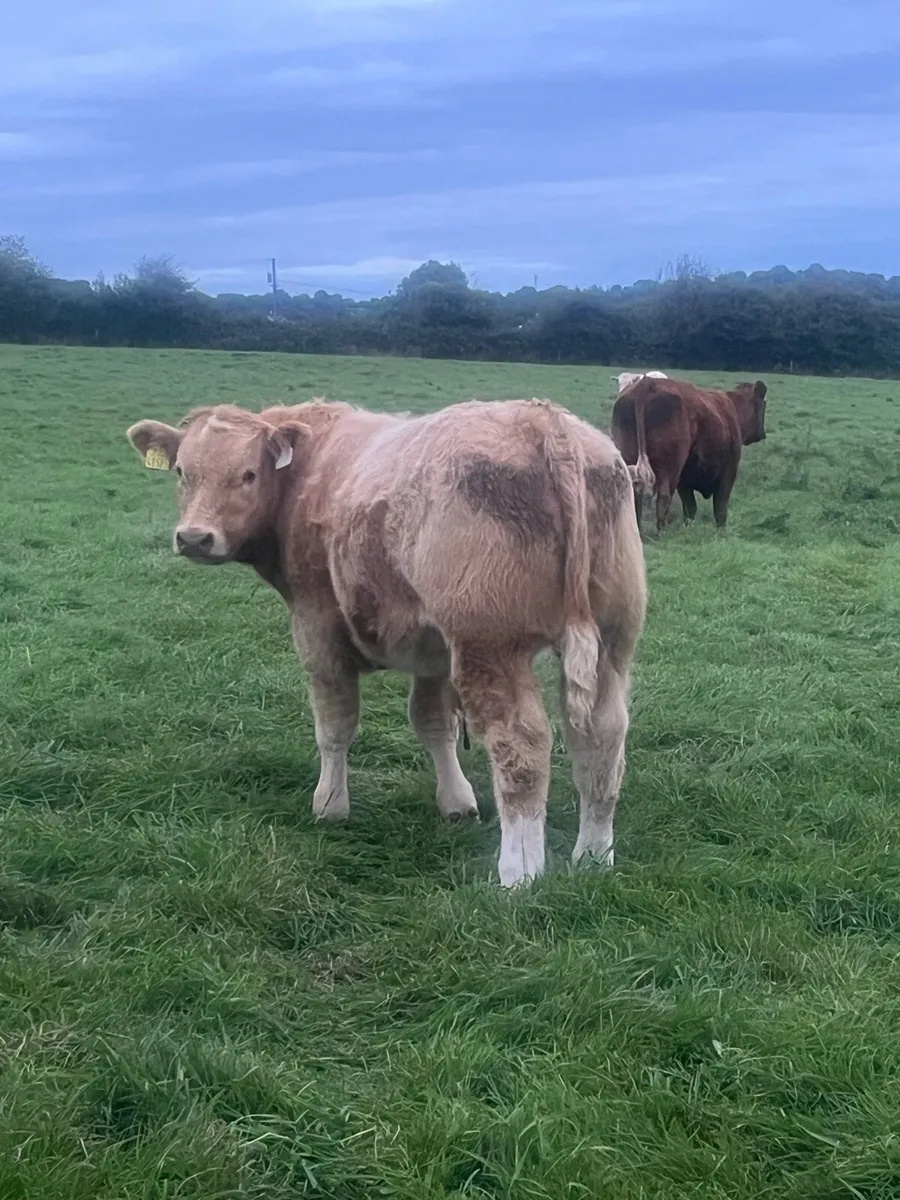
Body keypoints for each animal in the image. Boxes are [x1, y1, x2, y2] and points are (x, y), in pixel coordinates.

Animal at [126, 397, 647, 888]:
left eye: (248, 474)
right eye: (182, 472)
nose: (195, 538)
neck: (313, 467)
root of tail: (543, 421)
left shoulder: (317, 628)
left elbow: (334, 726)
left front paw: (330, 805)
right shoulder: (433, 652)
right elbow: (432, 723)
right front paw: (456, 801)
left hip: (490, 649)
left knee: (521, 748)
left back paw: (519, 874)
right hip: (612, 645)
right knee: (602, 741)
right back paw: (593, 857)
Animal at [610, 376, 767, 532]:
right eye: (763, 405)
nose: (762, 434)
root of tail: (648, 382)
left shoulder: (684, 479)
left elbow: (690, 506)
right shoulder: (729, 471)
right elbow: (720, 506)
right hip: (670, 469)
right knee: (664, 496)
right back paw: (662, 532)